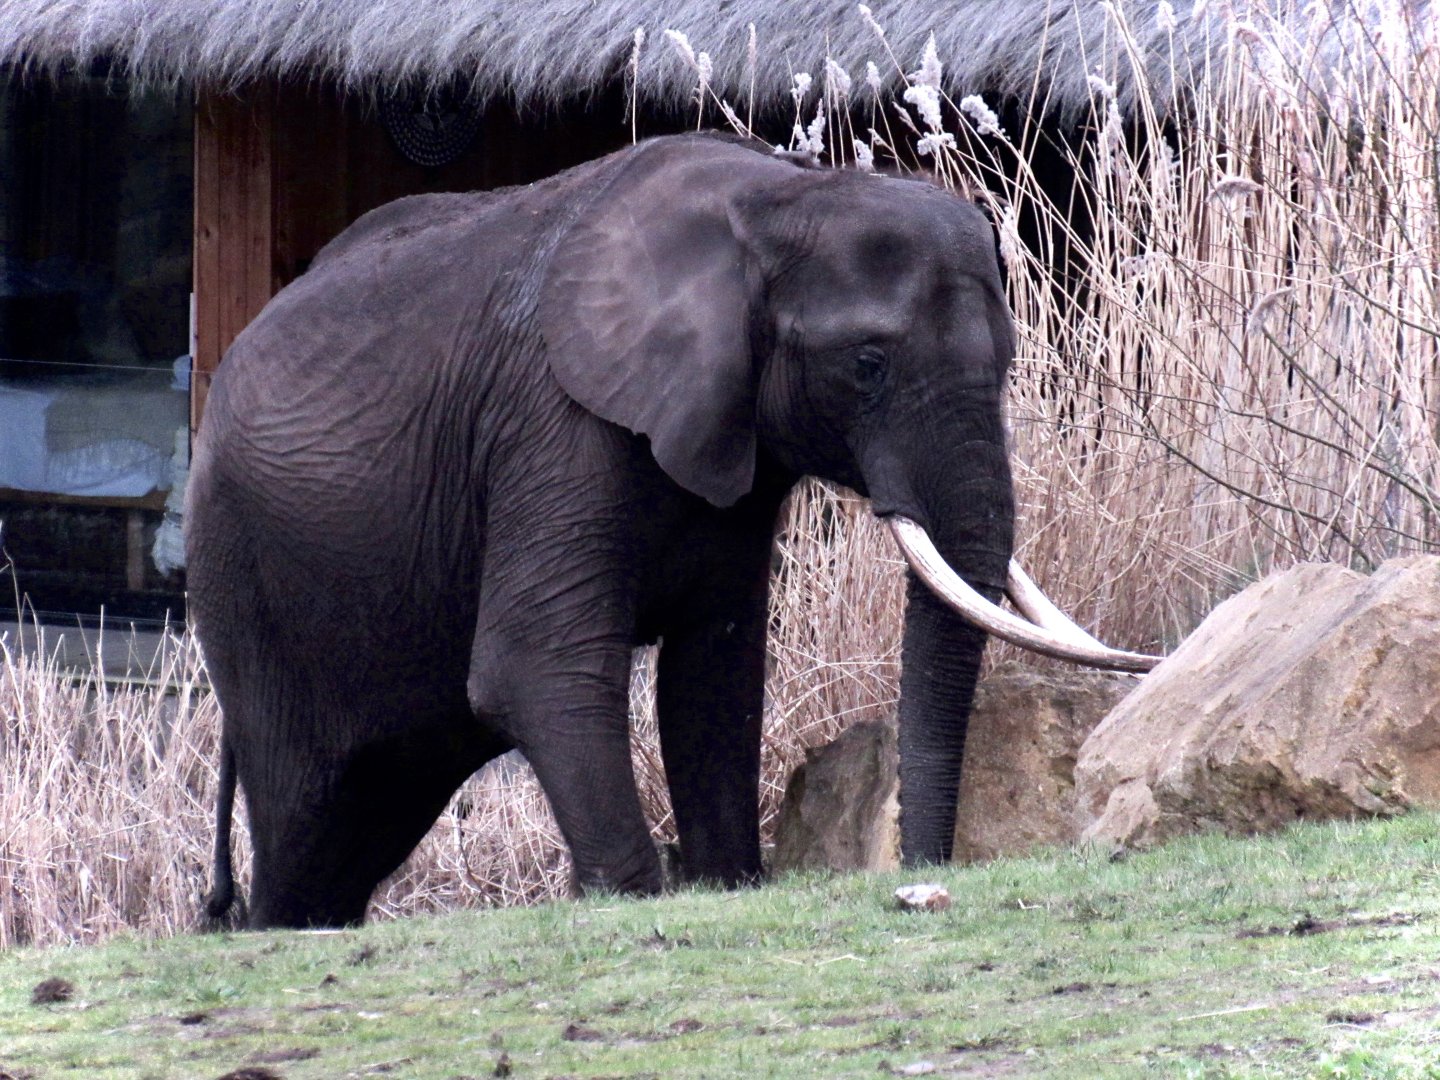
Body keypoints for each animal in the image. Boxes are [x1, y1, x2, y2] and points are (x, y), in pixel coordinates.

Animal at [188, 132, 1155, 930]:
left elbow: (716, 672)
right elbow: (533, 665)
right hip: (242, 576)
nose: (923, 879)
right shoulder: (552, 424)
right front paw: (634, 898)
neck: (777, 200)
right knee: (304, 814)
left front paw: (730, 885)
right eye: (868, 365)